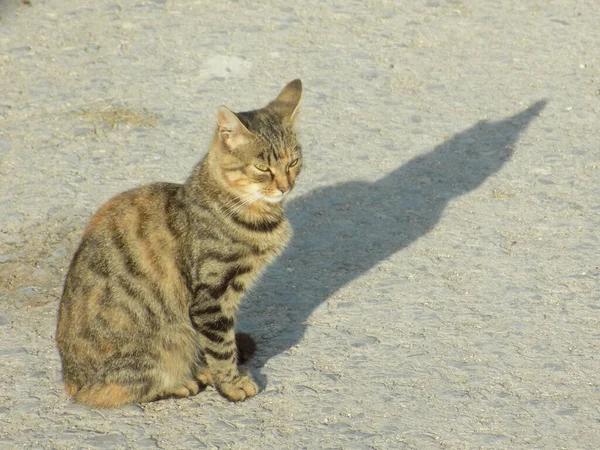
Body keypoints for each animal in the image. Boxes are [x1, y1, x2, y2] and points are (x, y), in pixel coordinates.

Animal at [55, 78, 304, 408]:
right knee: (124, 389)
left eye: (293, 162)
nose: (285, 186)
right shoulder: (211, 298)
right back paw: (181, 383)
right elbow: (221, 348)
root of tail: (71, 380)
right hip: (159, 343)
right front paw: (231, 384)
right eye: (263, 168)